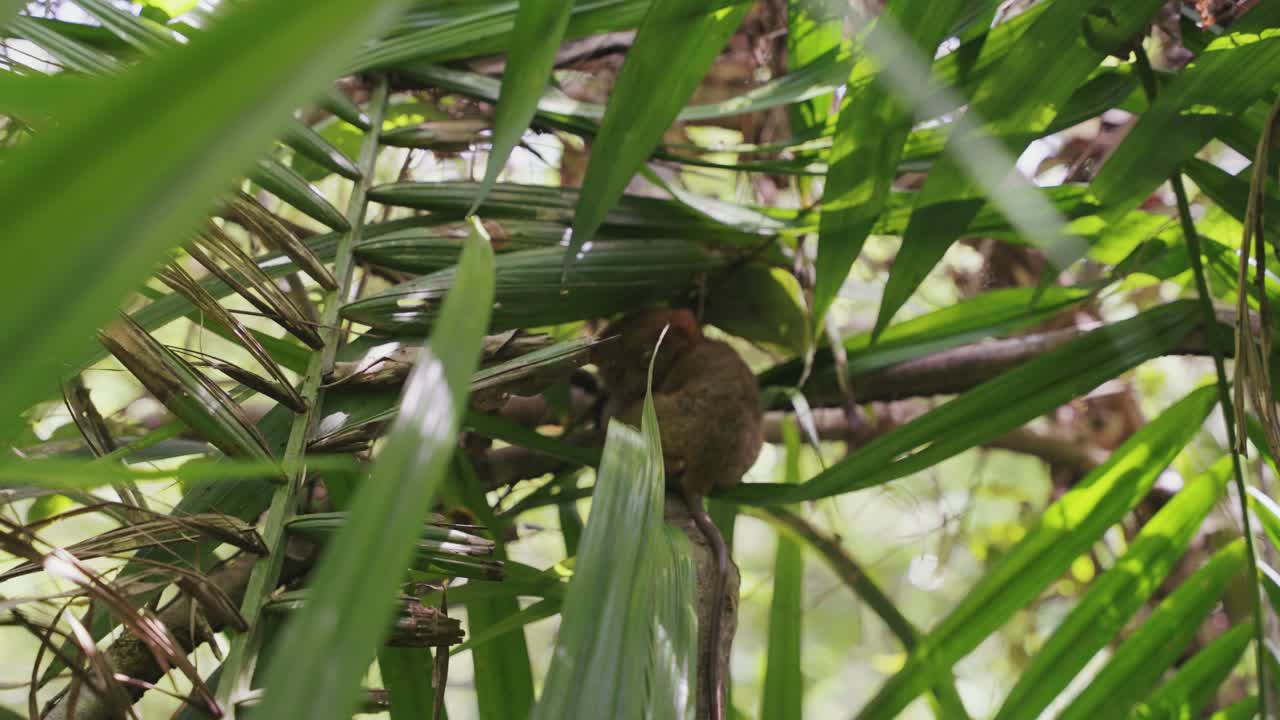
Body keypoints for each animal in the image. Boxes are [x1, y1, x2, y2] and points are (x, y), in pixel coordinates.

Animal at [591, 308, 763, 720]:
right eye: (614, 366)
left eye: (643, 357)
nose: (593, 353)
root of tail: (703, 474)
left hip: (667, 419)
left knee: (628, 417)